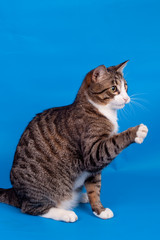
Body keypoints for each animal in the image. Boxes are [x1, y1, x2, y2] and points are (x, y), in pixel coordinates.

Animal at [0, 61, 149, 222]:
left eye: (126, 87)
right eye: (114, 89)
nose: (127, 98)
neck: (100, 109)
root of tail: (15, 193)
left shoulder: (93, 169)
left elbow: (94, 189)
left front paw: (99, 210)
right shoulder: (92, 153)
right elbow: (114, 141)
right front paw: (136, 131)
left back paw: (80, 197)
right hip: (38, 193)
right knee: (31, 208)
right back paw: (65, 213)